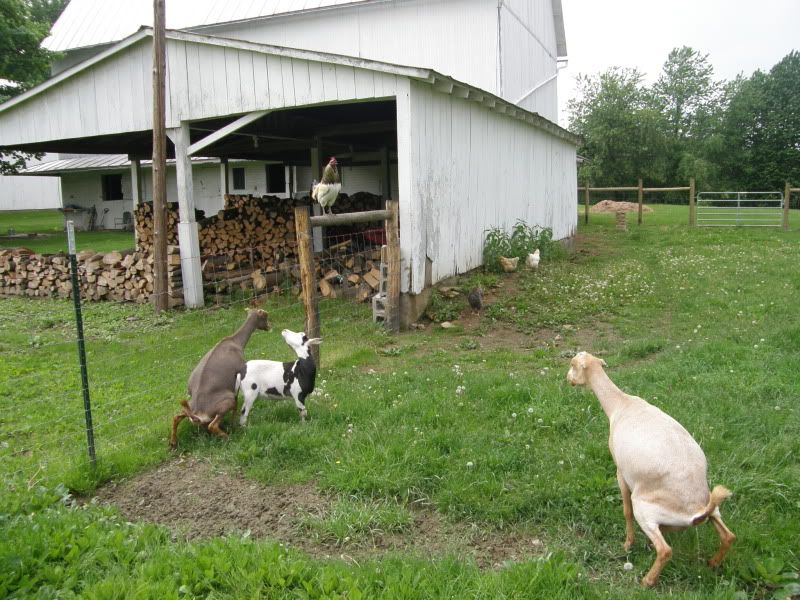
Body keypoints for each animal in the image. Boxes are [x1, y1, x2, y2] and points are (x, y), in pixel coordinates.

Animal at [169, 309, 270, 448]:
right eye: (266, 316)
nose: (270, 327)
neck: (235, 341)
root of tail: (198, 413)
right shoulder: (238, 375)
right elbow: (237, 402)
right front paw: (235, 424)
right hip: (226, 400)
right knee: (212, 425)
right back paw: (228, 437)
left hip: (189, 404)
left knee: (176, 417)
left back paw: (173, 443)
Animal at [566, 351, 735, 587]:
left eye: (572, 365)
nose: (568, 379)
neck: (621, 405)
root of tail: (696, 512)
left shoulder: (621, 472)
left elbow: (626, 511)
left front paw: (628, 543)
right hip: (712, 505)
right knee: (728, 536)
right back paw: (713, 563)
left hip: (645, 506)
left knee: (665, 550)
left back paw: (647, 580)